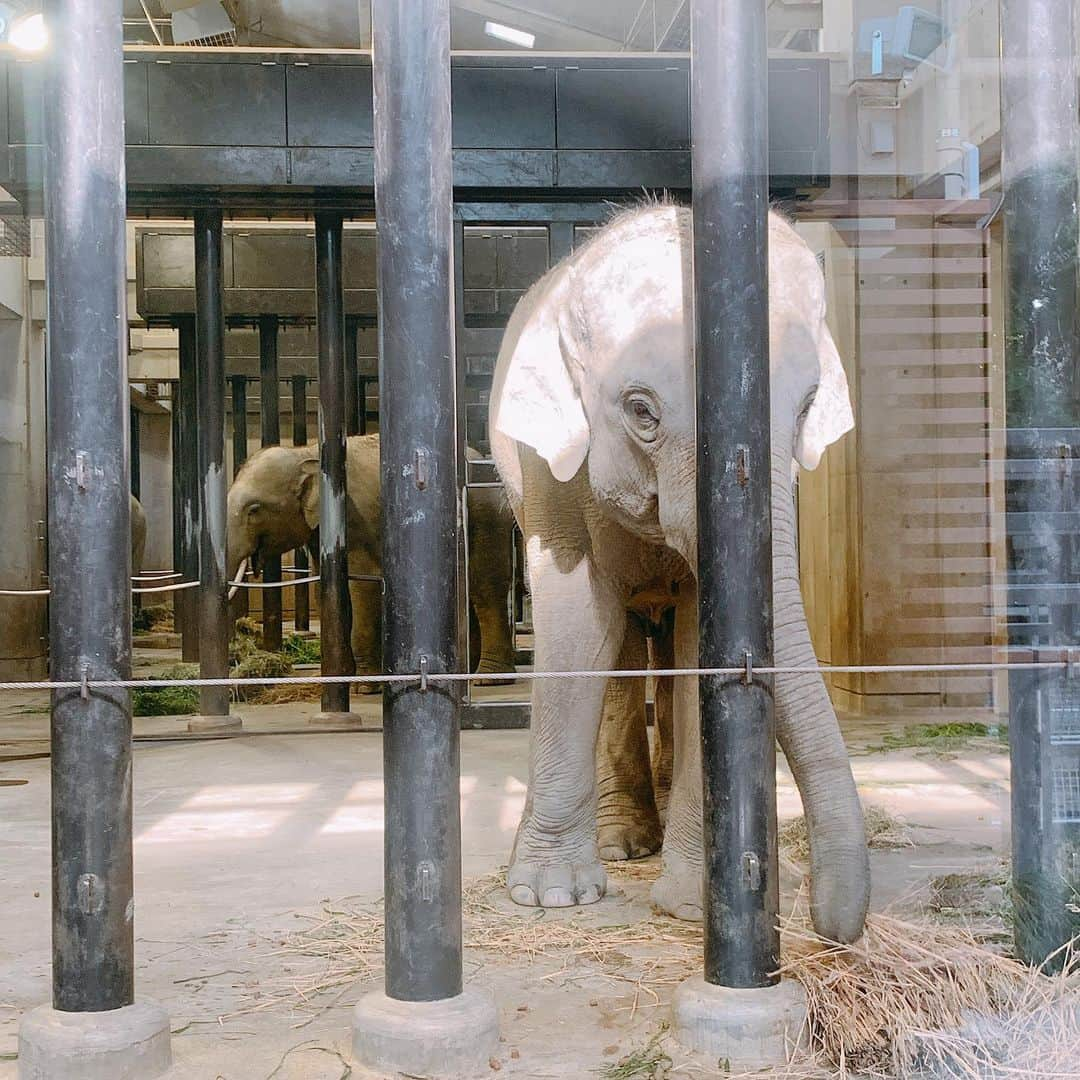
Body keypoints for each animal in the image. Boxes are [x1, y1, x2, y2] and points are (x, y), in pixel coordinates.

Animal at [224, 429, 518, 682]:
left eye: (254, 509)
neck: (306, 452)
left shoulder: (355, 518)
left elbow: (362, 587)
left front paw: (364, 684)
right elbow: (327, 590)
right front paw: (337, 677)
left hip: (488, 517)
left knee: (484, 586)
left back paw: (488, 678)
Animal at [490, 204, 868, 946]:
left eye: (807, 407)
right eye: (642, 412)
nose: (835, 928)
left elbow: (700, 644)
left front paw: (695, 904)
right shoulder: (546, 473)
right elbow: (578, 627)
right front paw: (550, 895)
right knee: (620, 650)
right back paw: (622, 842)